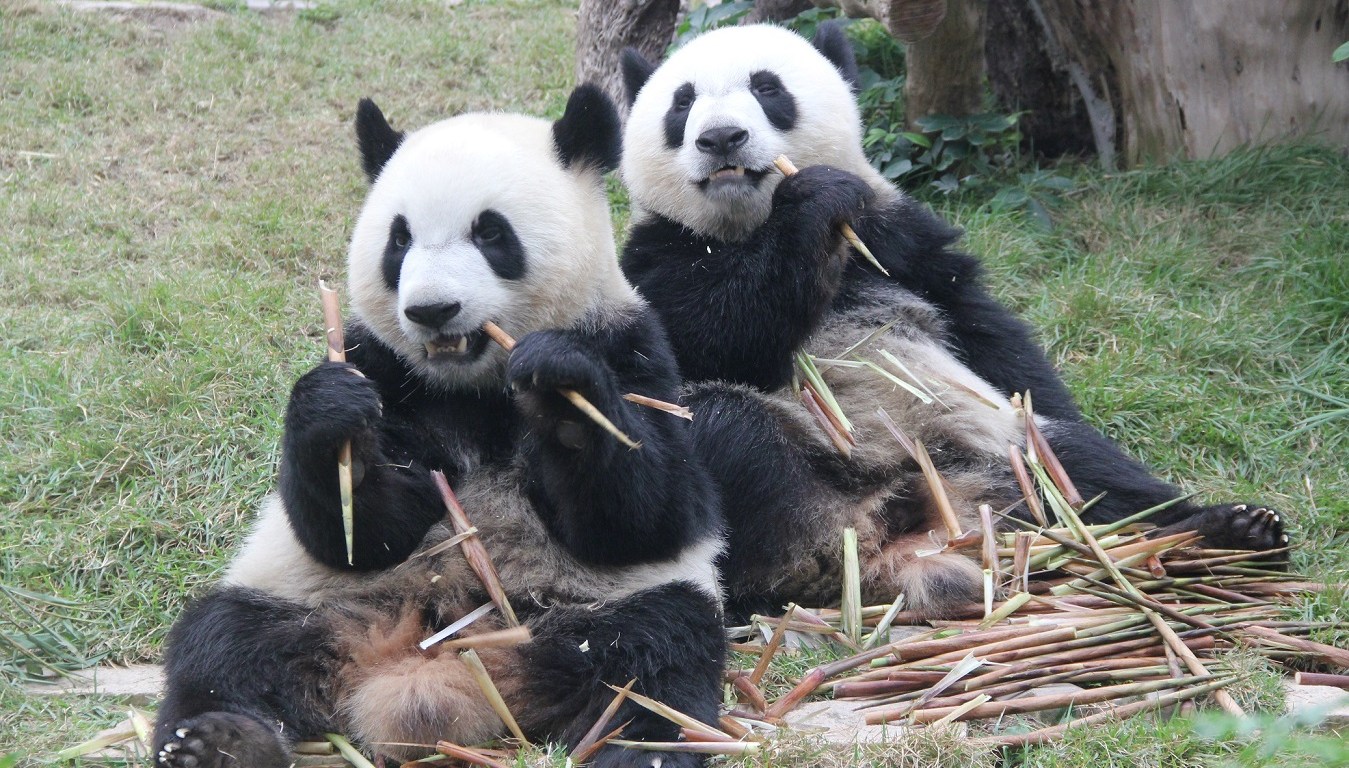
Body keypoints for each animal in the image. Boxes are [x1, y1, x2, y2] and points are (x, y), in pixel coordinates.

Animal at [152, 85, 726, 768]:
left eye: (491, 232)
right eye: (399, 240)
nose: (431, 310)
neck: (471, 386)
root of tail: (423, 671)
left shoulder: (633, 348)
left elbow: (648, 513)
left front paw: (561, 389)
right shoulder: (387, 369)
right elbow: (360, 532)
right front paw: (336, 420)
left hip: (598, 607)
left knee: (654, 657)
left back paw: (641, 749)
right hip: (304, 599)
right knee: (224, 644)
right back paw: (217, 740)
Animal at [616, 23, 1288, 619]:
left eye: (767, 87)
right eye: (683, 102)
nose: (722, 138)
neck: (743, 225)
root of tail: (924, 532)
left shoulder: (903, 240)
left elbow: (986, 333)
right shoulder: (656, 256)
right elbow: (708, 335)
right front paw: (812, 201)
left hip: (994, 456)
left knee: (1076, 465)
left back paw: (1228, 534)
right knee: (721, 429)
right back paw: (804, 564)